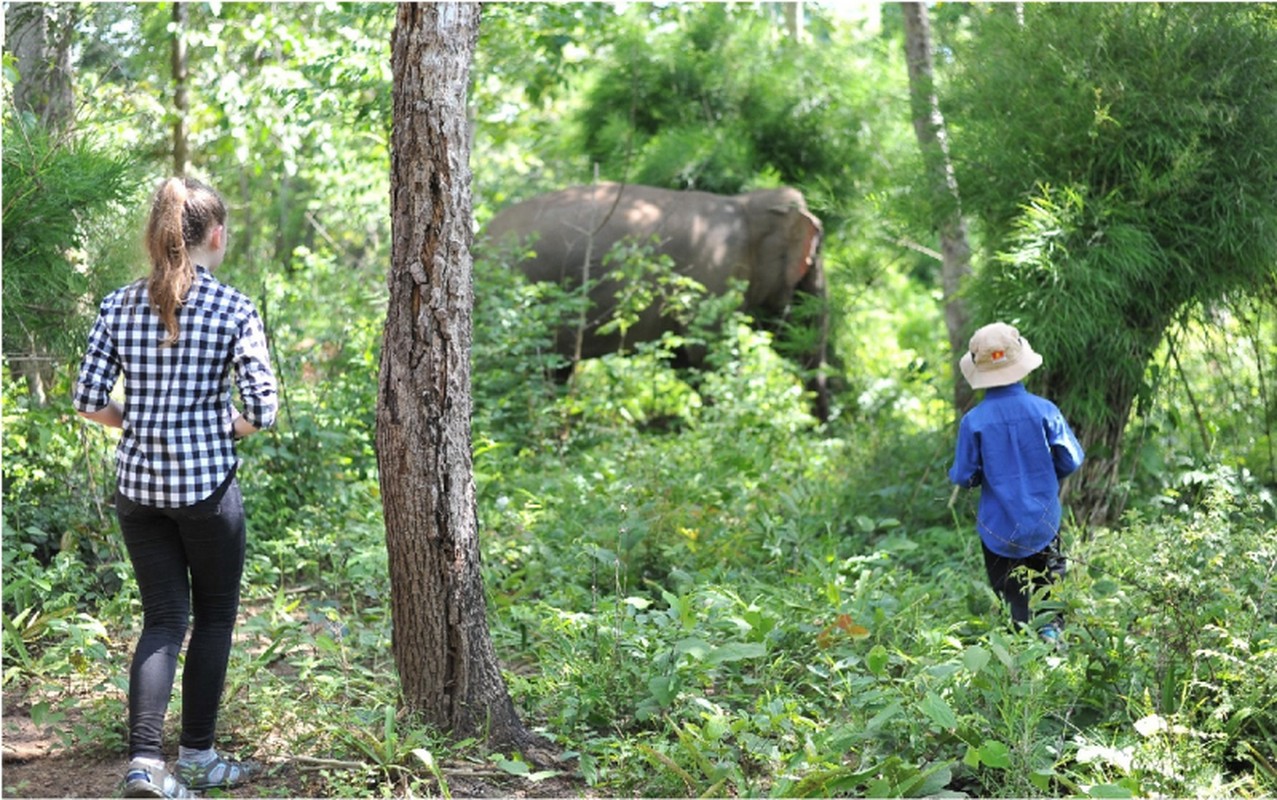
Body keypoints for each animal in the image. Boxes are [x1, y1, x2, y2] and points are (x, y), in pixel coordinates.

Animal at [480, 180, 827, 416]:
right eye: (812, 261)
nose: (820, 430)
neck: (746, 203)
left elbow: (684, 358)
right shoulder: (713, 271)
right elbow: (708, 353)